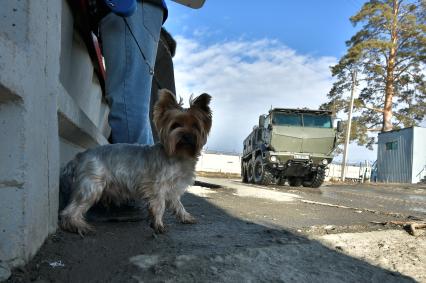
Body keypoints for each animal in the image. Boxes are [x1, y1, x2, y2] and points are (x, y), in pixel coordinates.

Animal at [59, 89, 212, 235]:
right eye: (175, 125)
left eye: (195, 126)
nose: (187, 135)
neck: (179, 155)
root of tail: (80, 156)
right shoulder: (157, 186)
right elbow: (159, 205)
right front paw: (158, 224)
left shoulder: (173, 189)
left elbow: (178, 204)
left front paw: (185, 217)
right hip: (92, 185)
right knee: (70, 210)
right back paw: (77, 225)